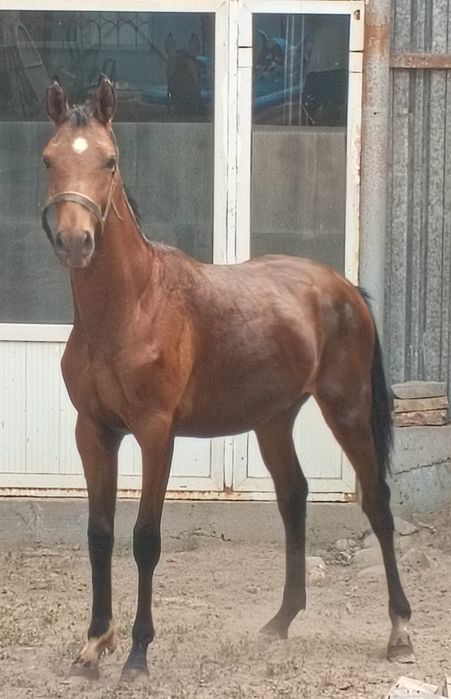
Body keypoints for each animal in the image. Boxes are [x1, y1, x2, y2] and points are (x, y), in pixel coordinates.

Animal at [41, 75, 414, 682]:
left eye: (110, 160)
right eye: (49, 159)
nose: (76, 242)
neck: (130, 308)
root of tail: (345, 288)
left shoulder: (156, 434)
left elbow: (145, 539)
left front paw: (138, 654)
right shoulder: (93, 432)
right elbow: (99, 536)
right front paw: (93, 646)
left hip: (347, 408)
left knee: (377, 504)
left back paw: (400, 632)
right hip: (274, 420)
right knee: (294, 496)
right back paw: (281, 621)